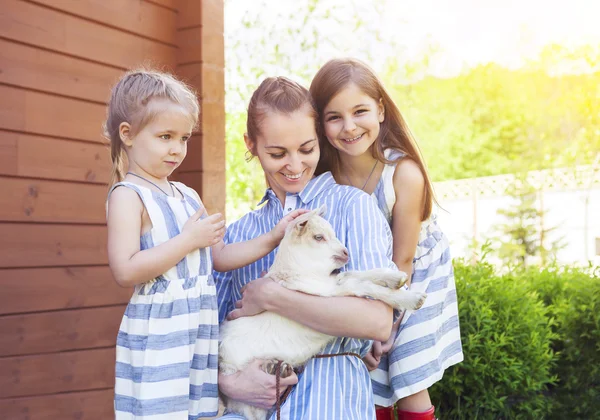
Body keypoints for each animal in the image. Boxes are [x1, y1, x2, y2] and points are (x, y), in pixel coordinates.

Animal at [220, 208, 426, 420]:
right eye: (318, 237)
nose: (345, 252)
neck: (299, 273)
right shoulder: (328, 294)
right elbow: (361, 285)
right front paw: (412, 299)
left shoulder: (333, 283)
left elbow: (354, 273)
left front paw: (396, 278)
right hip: (243, 387)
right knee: (254, 410)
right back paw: (273, 370)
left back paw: (279, 369)